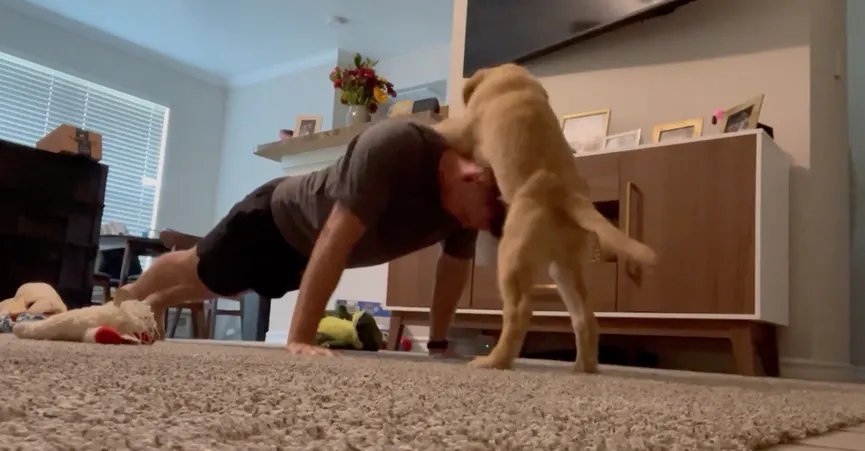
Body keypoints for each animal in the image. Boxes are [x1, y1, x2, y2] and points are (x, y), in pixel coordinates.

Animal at [438, 64, 656, 374]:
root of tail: (567, 195)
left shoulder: (464, 128)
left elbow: (445, 127)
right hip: (566, 269)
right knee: (584, 317)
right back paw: (584, 368)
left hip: (512, 258)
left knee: (519, 311)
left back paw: (494, 361)